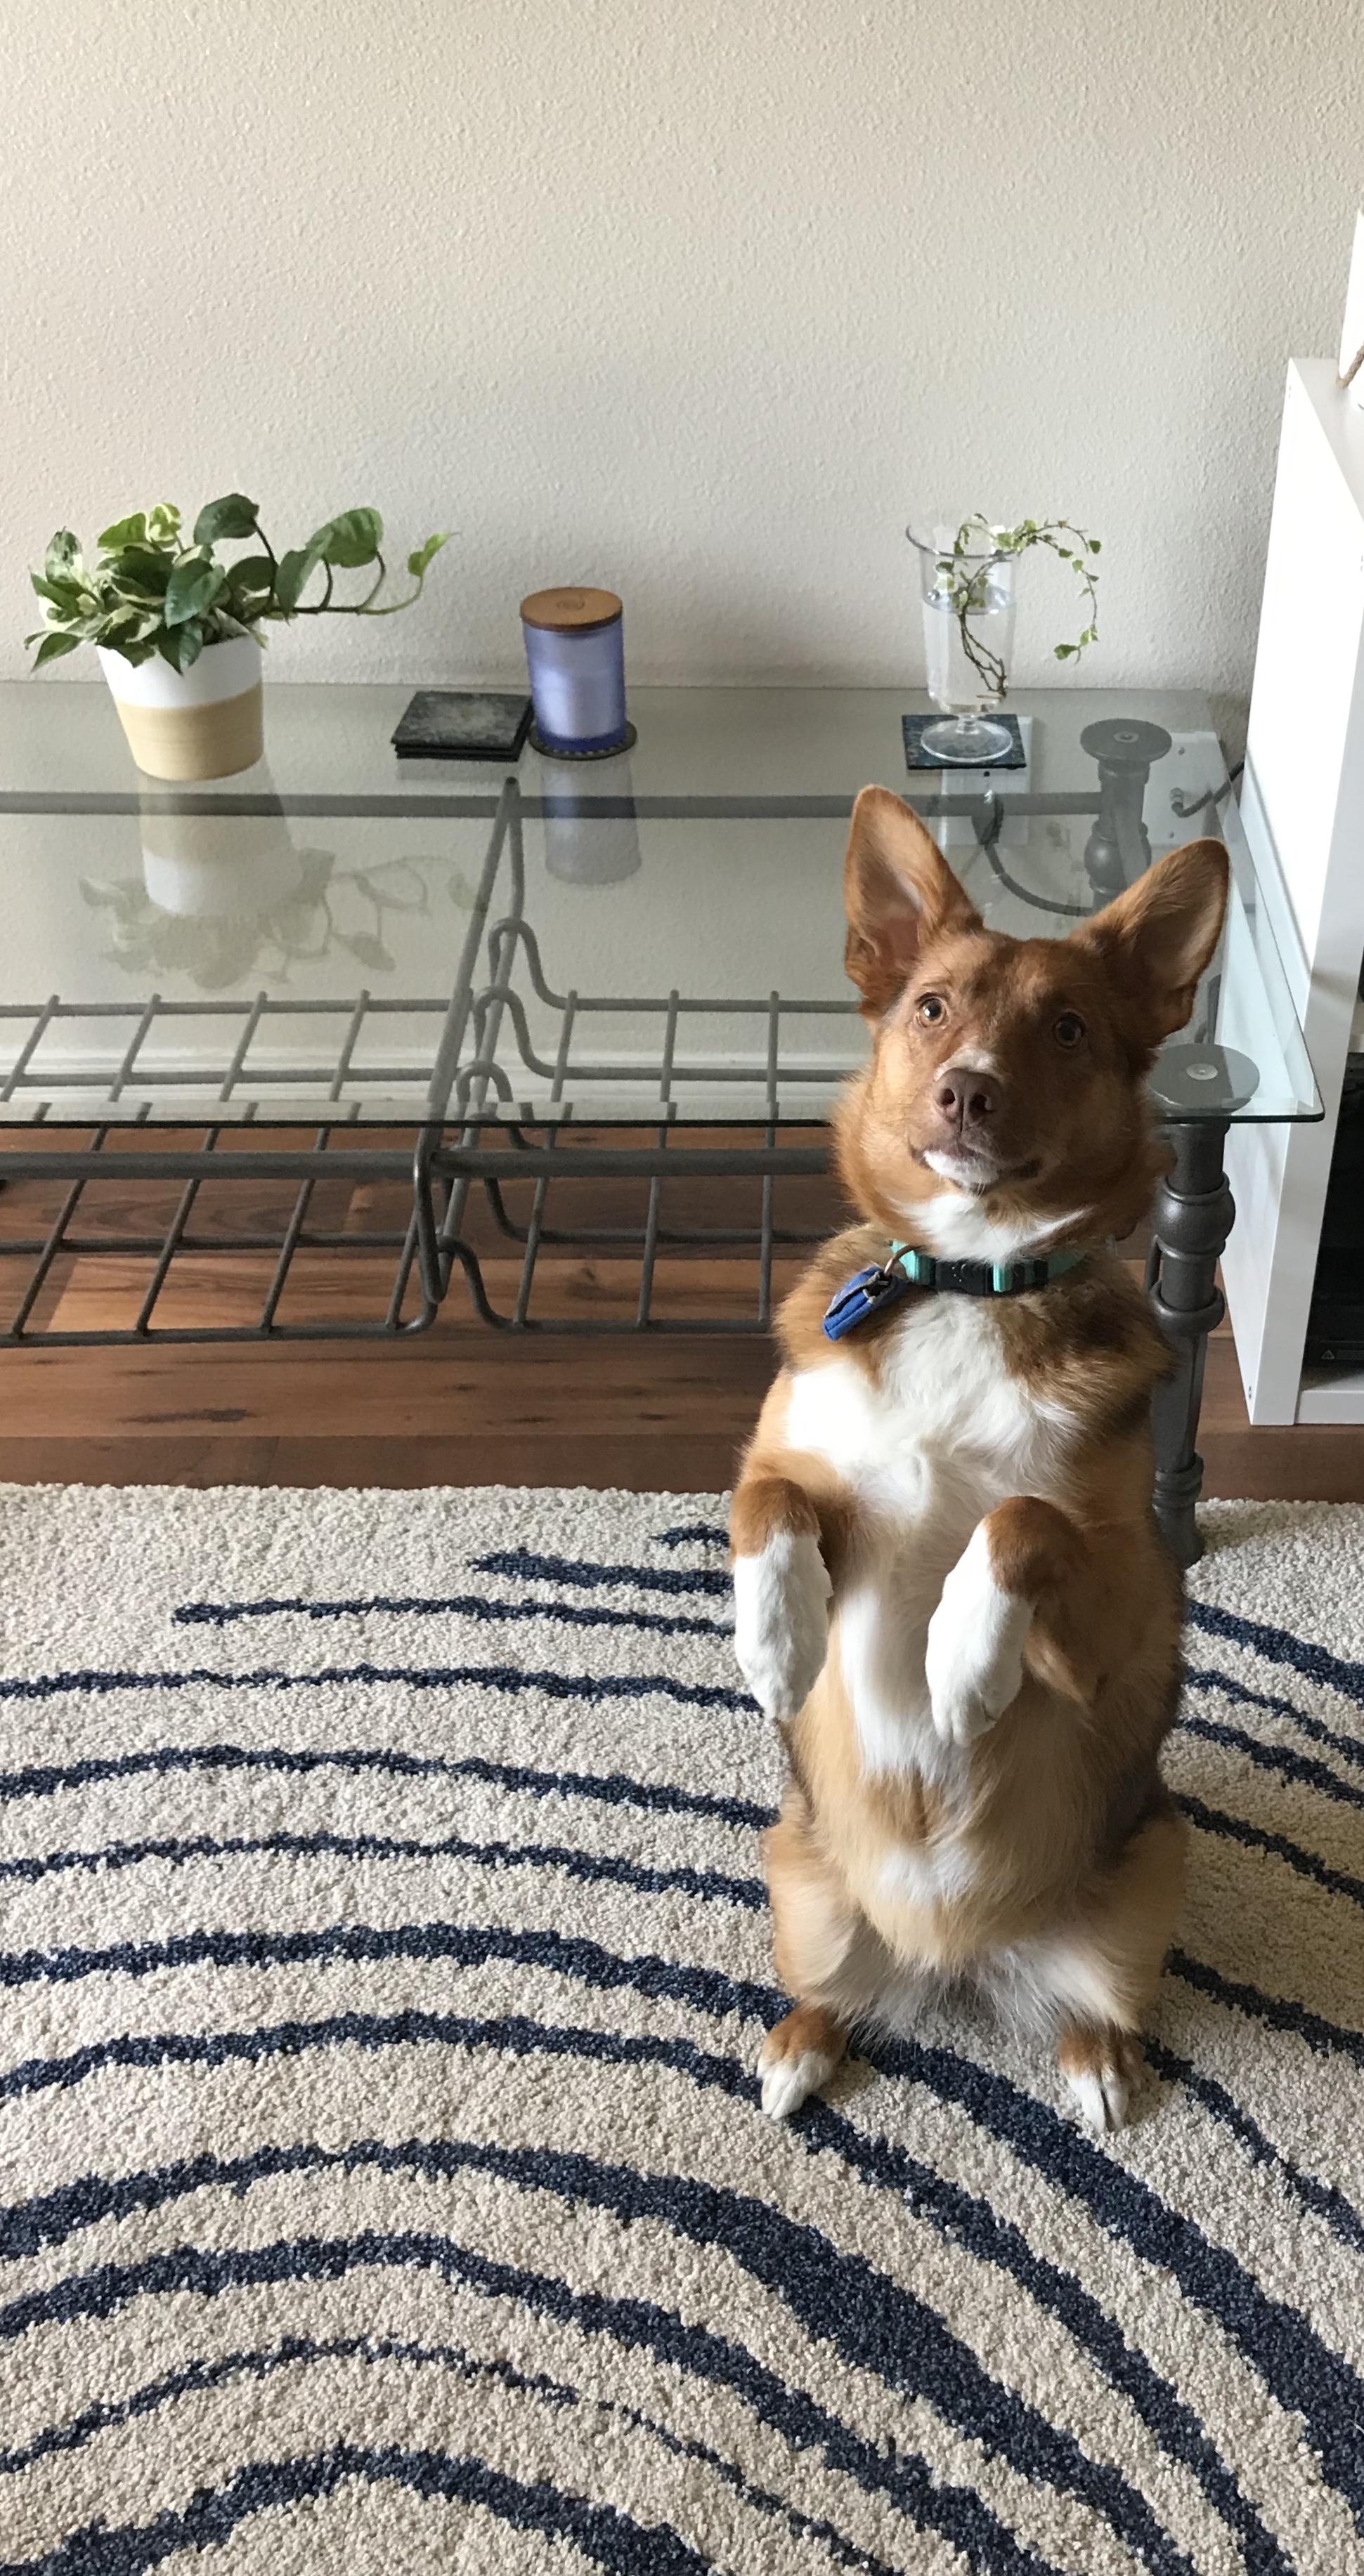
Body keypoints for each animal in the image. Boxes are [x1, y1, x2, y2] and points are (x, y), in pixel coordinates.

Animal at [730, 785, 1228, 2130]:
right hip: (796, 1874)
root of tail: (954, 1958)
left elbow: (1021, 1519)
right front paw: (776, 1638)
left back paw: (1097, 2063)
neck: (969, 1280)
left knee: (1098, 2004)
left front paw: (961, 1663)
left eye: (1065, 1026)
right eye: (930, 1008)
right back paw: (797, 2044)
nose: (966, 1093)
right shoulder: (809, 1475)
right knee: (829, 1995)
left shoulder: (1119, 1616)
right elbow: (765, 1494)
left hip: (1148, 1874)